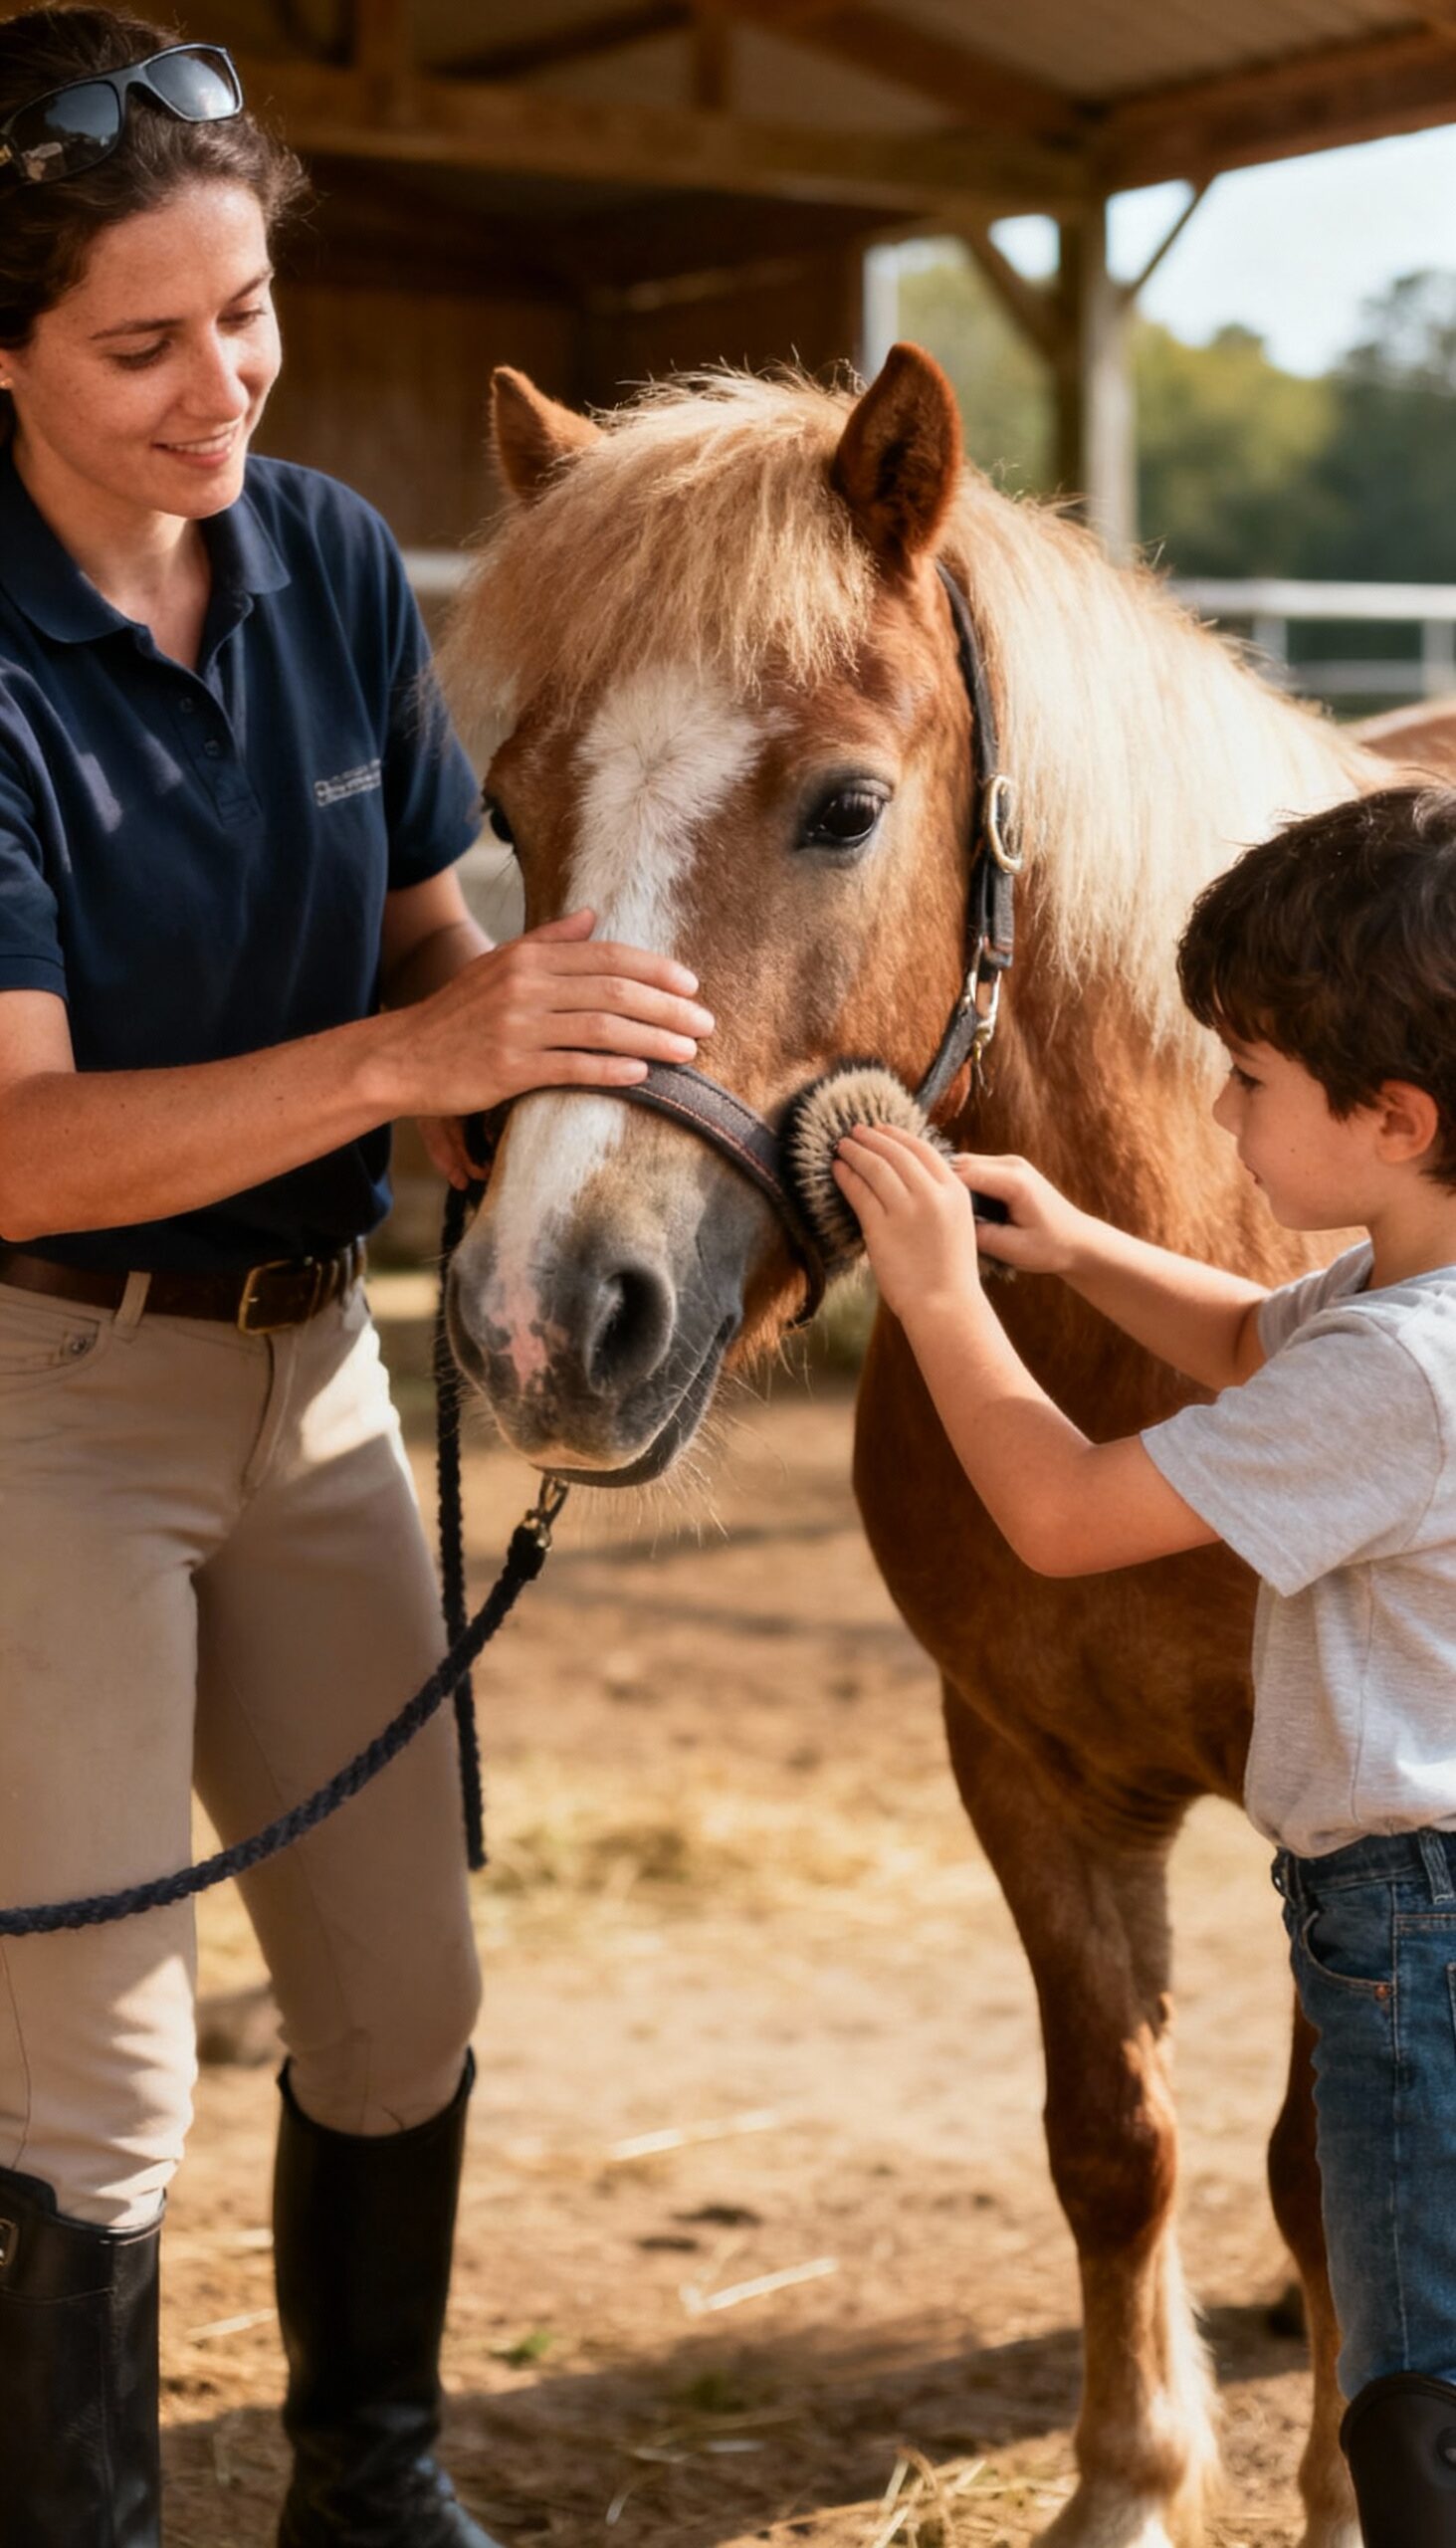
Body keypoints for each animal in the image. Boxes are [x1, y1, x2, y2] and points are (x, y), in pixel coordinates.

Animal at [439, 342, 1442, 2548]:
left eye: (841, 808)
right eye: (505, 814)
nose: (543, 1324)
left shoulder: (1336, 1798)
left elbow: (1320, 2167)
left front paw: (1333, 2487)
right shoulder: (1019, 1767)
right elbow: (1112, 2137)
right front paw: (1129, 2478)